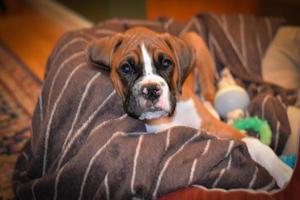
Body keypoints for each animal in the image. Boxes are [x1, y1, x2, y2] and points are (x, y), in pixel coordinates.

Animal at [88, 27, 292, 188]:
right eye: (126, 68)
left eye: (166, 63)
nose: (152, 90)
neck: (171, 116)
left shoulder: (215, 127)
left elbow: (255, 144)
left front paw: (282, 170)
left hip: (197, 44)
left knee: (210, 93)